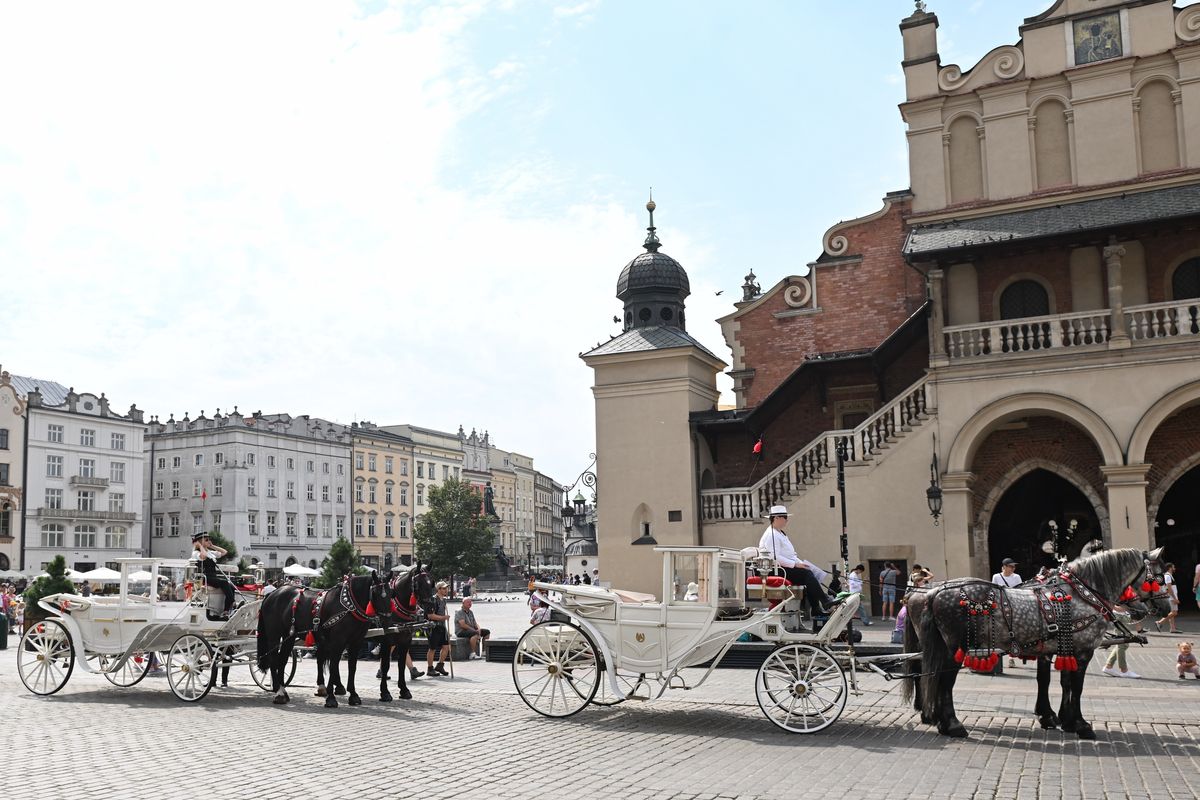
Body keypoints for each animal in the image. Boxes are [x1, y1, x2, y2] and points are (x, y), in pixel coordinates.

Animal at [902, 551, 1166, 738]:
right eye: (1159, 577)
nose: (1164, 607)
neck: (1082, 592)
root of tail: (932, 593)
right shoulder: (1083, 651)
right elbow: (1076, 686)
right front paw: (1080, 724)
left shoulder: (1058, 648)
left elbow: (1057, 682)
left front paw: (1060, 719)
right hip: (954, 647)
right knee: (943, 680)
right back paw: (951, 724)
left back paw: (937, 719)